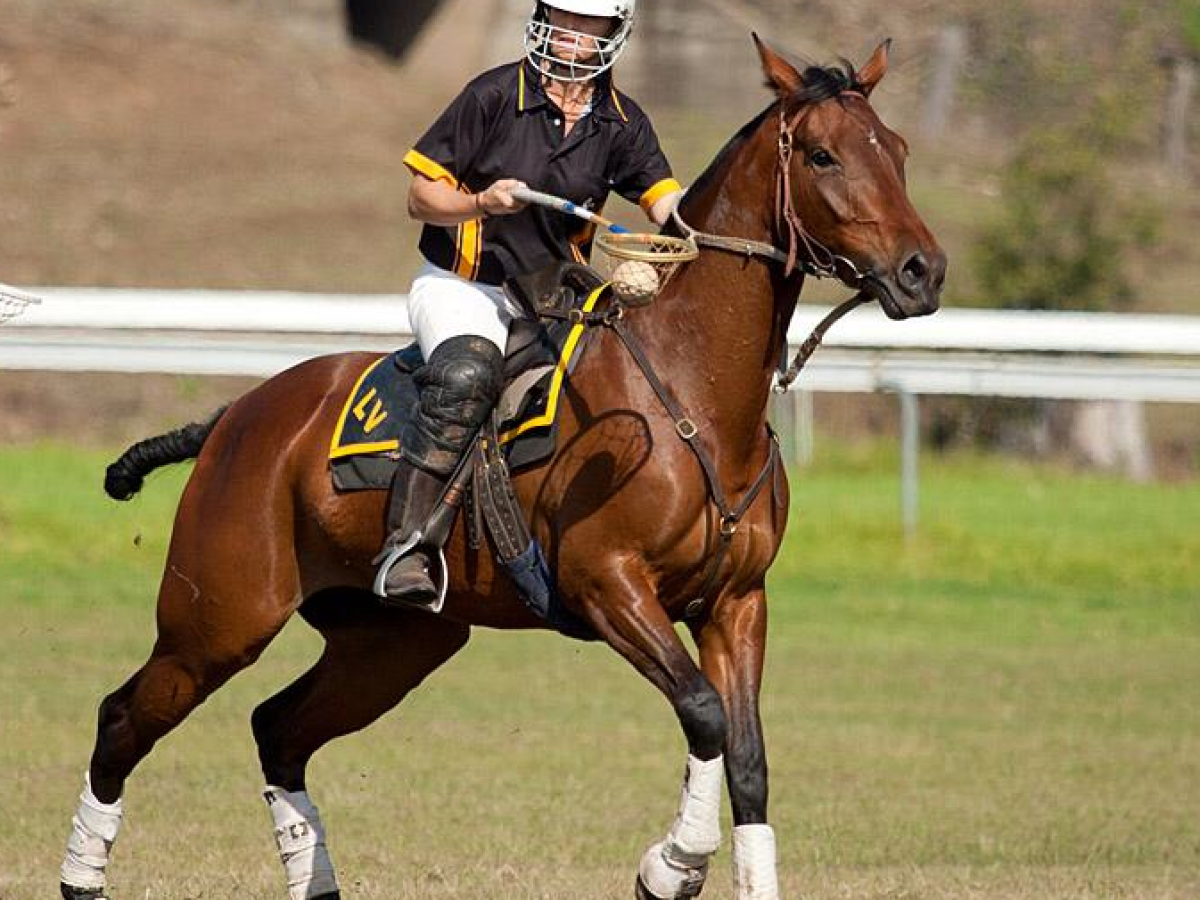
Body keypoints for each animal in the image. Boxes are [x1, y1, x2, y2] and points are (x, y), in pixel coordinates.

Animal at [59, 36, 944, 900]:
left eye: (898, 150)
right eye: (824, 155)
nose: (923, 272)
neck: (693, 388)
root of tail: (235, 416)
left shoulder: (736, 601)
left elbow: (749, 758)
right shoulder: (607, 584)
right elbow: (704, 714)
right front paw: (671, 866)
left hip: (395, 641)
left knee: (277, 728)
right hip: (217, 619)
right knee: (120, 717)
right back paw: (81, 876)